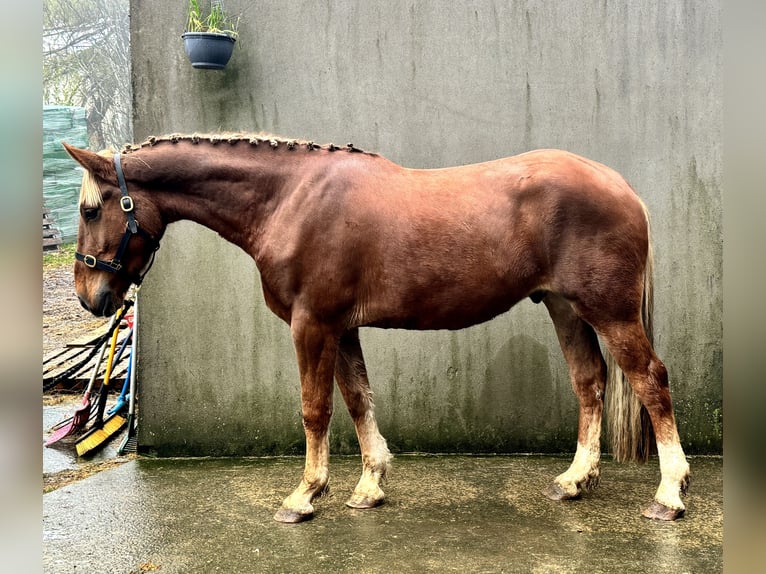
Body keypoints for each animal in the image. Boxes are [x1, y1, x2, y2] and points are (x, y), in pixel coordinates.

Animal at [64, 133, 690, 523]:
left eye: (92, 209)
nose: (91, 298)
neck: (289, 200)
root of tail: (622, 187)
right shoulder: (341, 328)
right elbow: (359, 398)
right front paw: (369, 487)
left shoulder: (312, 325)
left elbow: (316, 409)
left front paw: (304, 496)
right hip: (564, 307)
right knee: (589, 382)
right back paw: (574, 480)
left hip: (609, 312)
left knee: (651, 381)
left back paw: (669, 494)